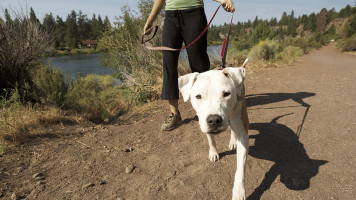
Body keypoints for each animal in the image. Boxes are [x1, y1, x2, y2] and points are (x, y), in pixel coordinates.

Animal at [179, 59, 249, 200]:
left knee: (233, 129)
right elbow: (211, 140)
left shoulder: (243, 134)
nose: (214, 120)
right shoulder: (204, 124)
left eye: (226, 94)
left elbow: (241, 168)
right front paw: (213, 153)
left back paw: (233, 141)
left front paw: (239, 192)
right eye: (198, 96)